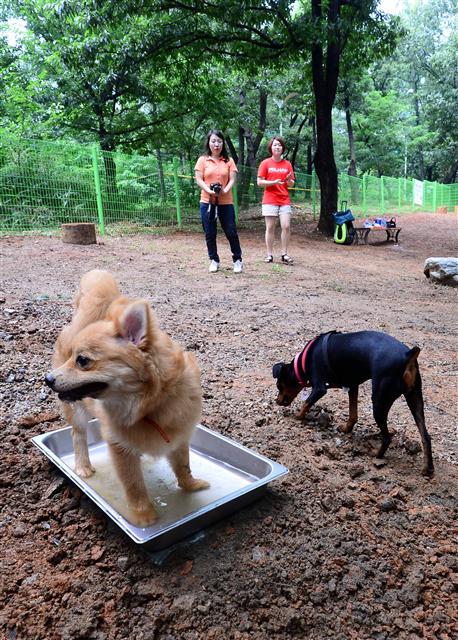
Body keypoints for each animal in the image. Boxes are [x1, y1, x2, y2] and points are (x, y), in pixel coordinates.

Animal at [44, 270, 209, 524]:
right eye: (73, 357)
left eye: (82, 360)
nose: (48, 379)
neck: (149, 407)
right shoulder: (120, 447)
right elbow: (134, 485)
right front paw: (144, 516)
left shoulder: (179, 437)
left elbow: (184, 466)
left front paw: (191, 485)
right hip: (77, 412)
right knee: (78, 435)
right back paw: (82, 465)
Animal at [274, 330, 434, 476]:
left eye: (279, 386)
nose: (277, 401)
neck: (302, 363)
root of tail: (407, 355)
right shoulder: (352, 386)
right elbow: (353, 414)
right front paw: (346, 429)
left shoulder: (320, 388)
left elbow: (306, 403)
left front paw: (297, 416)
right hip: (415, 398)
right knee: (425, 436)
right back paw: (428, 468)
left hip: (379, 402)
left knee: (387, 437)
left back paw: (376, 454)